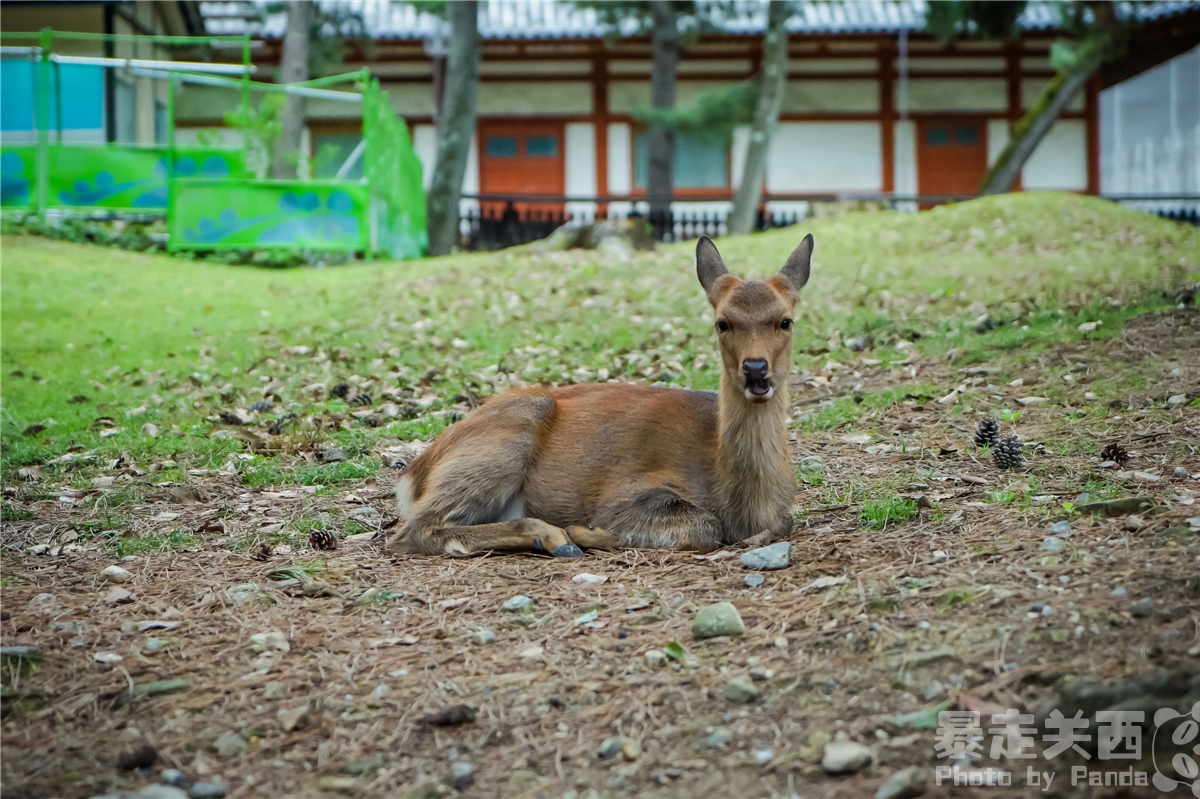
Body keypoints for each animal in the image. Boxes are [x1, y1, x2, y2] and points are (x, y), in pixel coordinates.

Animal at [386, 230, 816, 554]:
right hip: (498, 445)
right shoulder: (626, 491)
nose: (755, 368)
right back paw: (556, 537)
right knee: (413, 530)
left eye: (786, 321)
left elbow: (786, 521)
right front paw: (584, 531)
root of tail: (414, 473)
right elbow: (704, 525)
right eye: (722, 322)